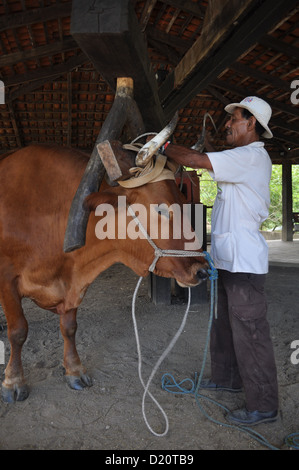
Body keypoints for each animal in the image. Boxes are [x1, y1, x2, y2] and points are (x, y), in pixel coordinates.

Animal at [0, 143, 209, 400]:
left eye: (184, 200)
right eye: (161, 209)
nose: (203, 270)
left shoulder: (74, 280)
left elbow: (69, 327)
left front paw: (75, 370)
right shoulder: (7, 279)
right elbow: (18, 331)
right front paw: (13, 381)